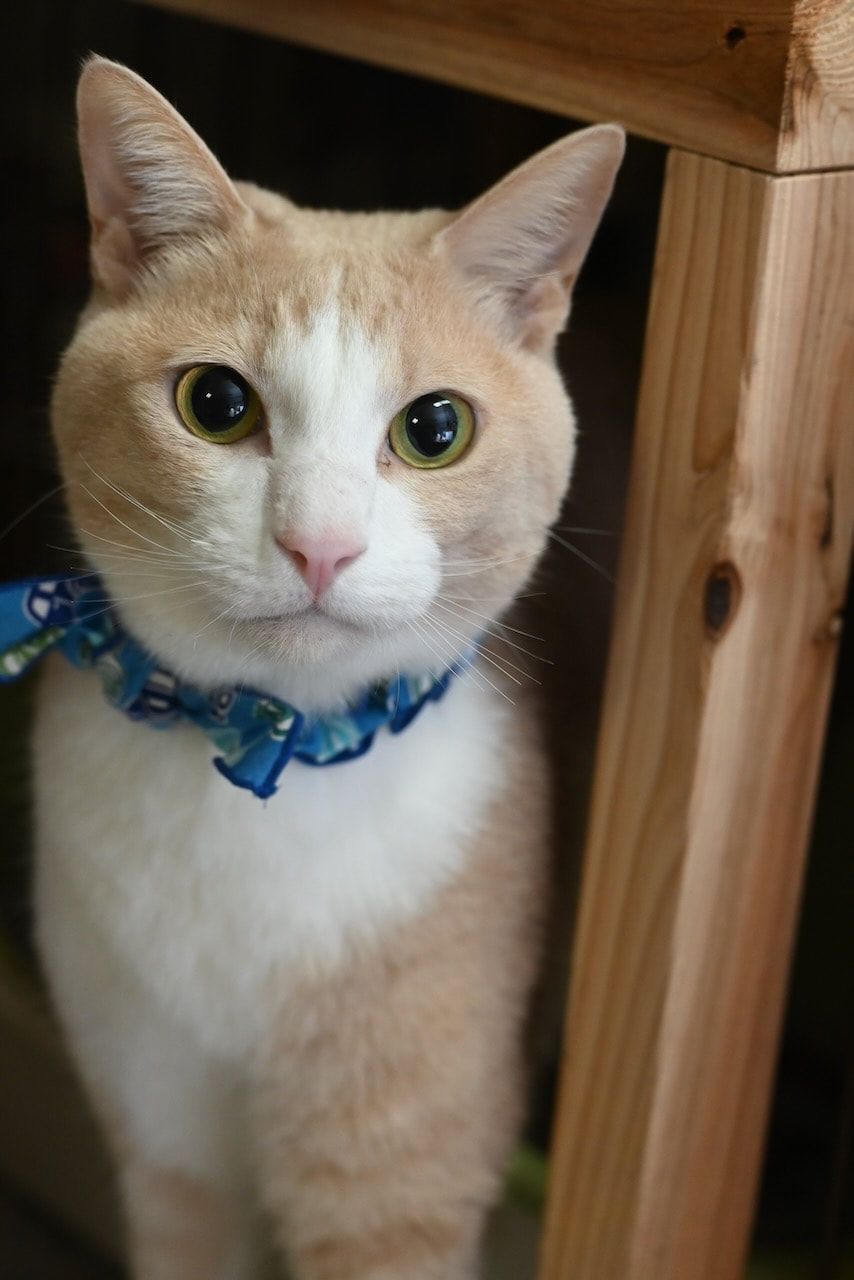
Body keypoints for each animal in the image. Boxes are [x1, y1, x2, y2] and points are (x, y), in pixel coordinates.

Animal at [30, 52, 624, 1280]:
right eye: (215, 403)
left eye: (435, 428)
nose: (319, 544)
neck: (269, 752)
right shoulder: (165, 1142)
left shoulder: (395, 1184)